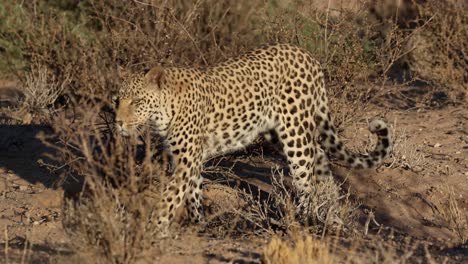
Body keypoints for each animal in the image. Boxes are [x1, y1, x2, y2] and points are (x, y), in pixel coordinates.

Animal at [112, 43, 392, 235]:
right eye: (117, 101)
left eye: (136, 101)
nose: (118, 123)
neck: (164, 111)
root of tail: (306, 54)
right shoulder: (187, 159)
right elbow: (191, 191)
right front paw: (196, 221)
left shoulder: (187, 160)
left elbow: (170, 195)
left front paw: (154, 228)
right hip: (276, 132)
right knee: (321, 162)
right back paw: (332, 218)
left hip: (294, 133)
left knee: (306, 177)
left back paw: (304, 221)